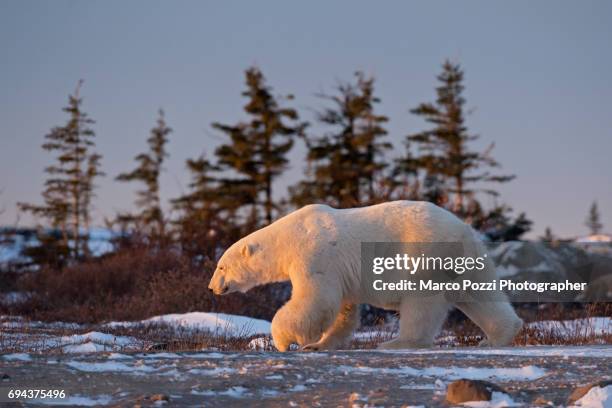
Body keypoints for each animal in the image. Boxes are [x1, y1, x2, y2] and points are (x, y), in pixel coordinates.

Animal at [209, 201, 520, 350]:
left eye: (221, 267)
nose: (212, 288)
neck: (289, 237)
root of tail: (464, 229)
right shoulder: (343, 274)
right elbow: (343, 311)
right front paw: (317, 345)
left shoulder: (315, 256)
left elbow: (315, 300)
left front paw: (286, 341)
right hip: (467, 261)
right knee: (480, 294)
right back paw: (497, 336)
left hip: (423, 252)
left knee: (420, 303)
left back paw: (397, 342)